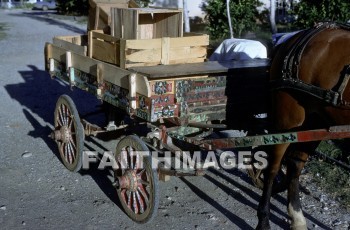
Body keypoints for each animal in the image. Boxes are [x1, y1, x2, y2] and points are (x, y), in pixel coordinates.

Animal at [256, 22, 350, 230]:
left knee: (294, 164)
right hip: (287, 122)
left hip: (314, 122)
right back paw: (263, 220)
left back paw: (297, 218)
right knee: (272, 168)